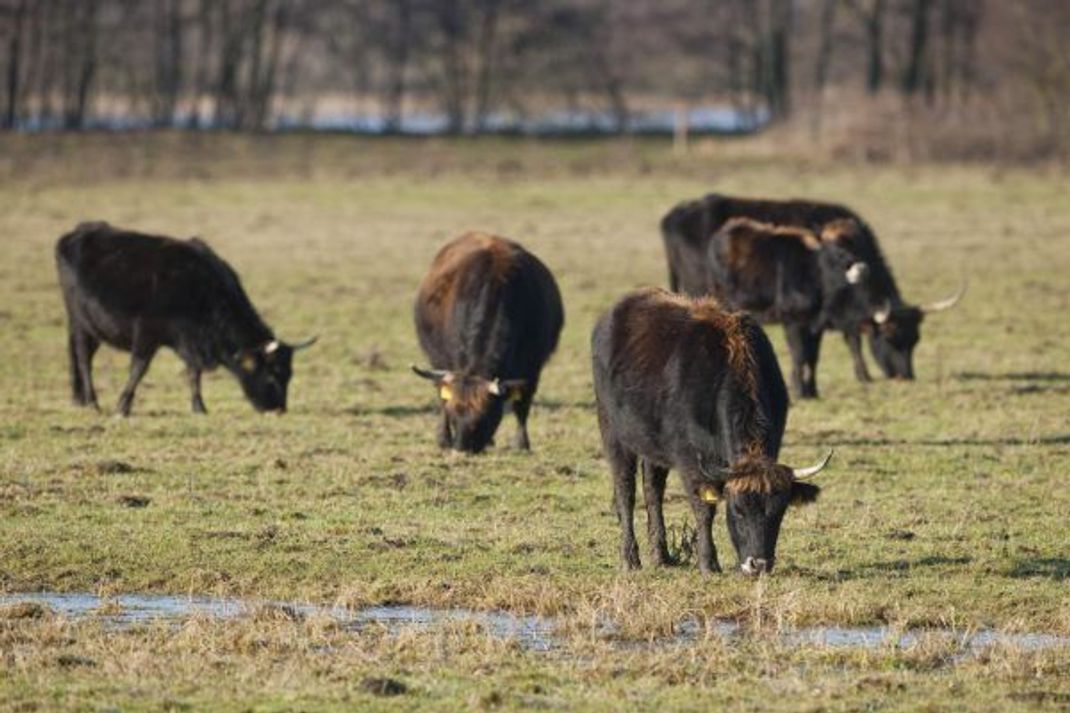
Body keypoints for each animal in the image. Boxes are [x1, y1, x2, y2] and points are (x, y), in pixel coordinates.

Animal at [55, 219, 312, 413]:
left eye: (289, 375)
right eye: (272, 375)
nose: (279, 409)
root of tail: (76, 232)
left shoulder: (190, 342)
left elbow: (193, 373)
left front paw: (199, 407)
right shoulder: (146, 334)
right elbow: (138, 369)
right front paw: (123, 406)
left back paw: (80, 399)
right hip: (81, 323)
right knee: (83, 359)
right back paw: (92, 402)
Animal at [410, 233, 569, 456]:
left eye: (485, 417)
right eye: (454, 415)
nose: (461, 450)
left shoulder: (532, 368)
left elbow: (522, 406)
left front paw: (522, 444)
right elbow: (443, 400)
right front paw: (444, 438)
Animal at [594, 286, 826, 573]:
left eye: (778, 512)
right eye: (738, 509)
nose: (758, 564)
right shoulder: (690, 462)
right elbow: (704, 510)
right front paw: (708, 562)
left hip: (652, 445)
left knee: (653, 490)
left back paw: (661, 555)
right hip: (614, 434)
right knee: (625, 490)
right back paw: (630, 558)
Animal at [654, 191, 967, 396]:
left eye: (915, 339)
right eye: (890, 337)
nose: (905, 377)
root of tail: (674, 214)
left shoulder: (820, 322)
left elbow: (816, 355)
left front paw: (814, 388)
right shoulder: (800, 321)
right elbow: (820, 349)